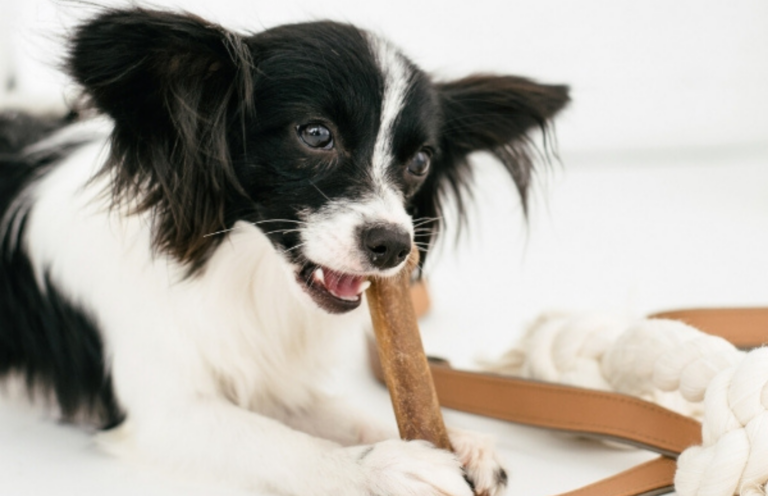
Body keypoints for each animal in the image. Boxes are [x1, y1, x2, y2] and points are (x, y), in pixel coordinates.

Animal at [0, 7, 564, 496]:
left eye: (421, 161)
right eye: (315, 135)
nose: (395, 246)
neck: (239, 271)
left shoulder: (272, 382)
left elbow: (346, 416)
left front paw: (457, 441)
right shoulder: (163, 413)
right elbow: (280, 443)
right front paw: (387, 467)